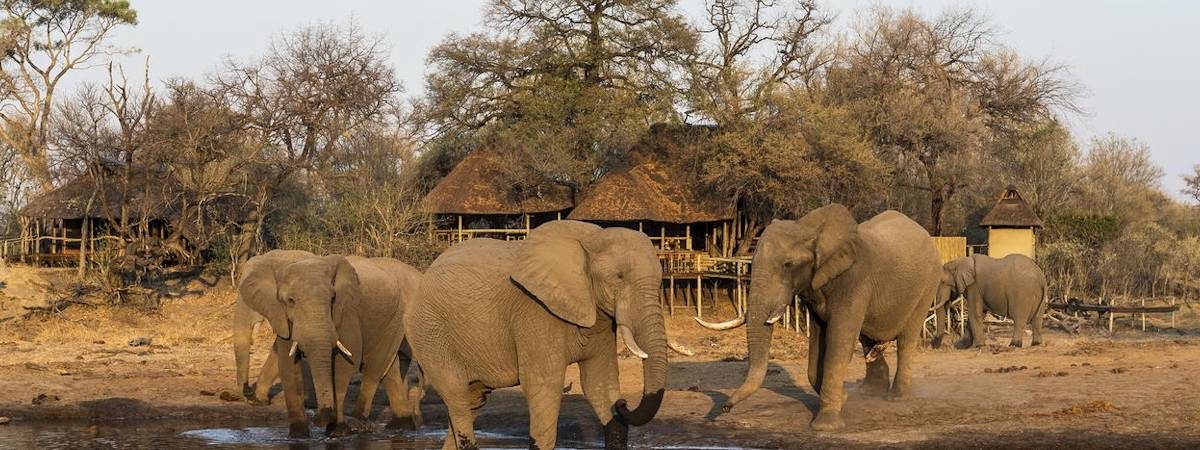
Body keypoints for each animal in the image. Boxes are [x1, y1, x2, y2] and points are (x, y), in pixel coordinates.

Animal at [236, 250, 424, 436]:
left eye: (332, 298)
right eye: (290, 301)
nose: (318, 419)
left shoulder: (347, 311)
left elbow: (344, 363)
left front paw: (336, 432)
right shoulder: (283, 316)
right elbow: (287, 364)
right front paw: (298, 436)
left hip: (395, 318)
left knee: (375, 368)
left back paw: (360, 424)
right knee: (390, 370)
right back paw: (400, 426)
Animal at [403, 222, 667, 450]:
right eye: (619, 277)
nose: (623, 403)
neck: (592, 237)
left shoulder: (597, 316)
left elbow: (598, 381)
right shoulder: (535, 311)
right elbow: (544, 384)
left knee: (472, 401)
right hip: (429, 332)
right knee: (457, 398)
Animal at [700, 206, 940, 432]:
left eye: (788, 264)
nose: (724, 408)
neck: (808, 228)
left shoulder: (854, 282)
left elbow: (838, 345)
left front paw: (825, 426)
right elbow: (817, 351)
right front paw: (843, 399)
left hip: (928, 284)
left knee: (906, 339)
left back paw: (896, 397)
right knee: (867, 337)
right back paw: (870, 392)